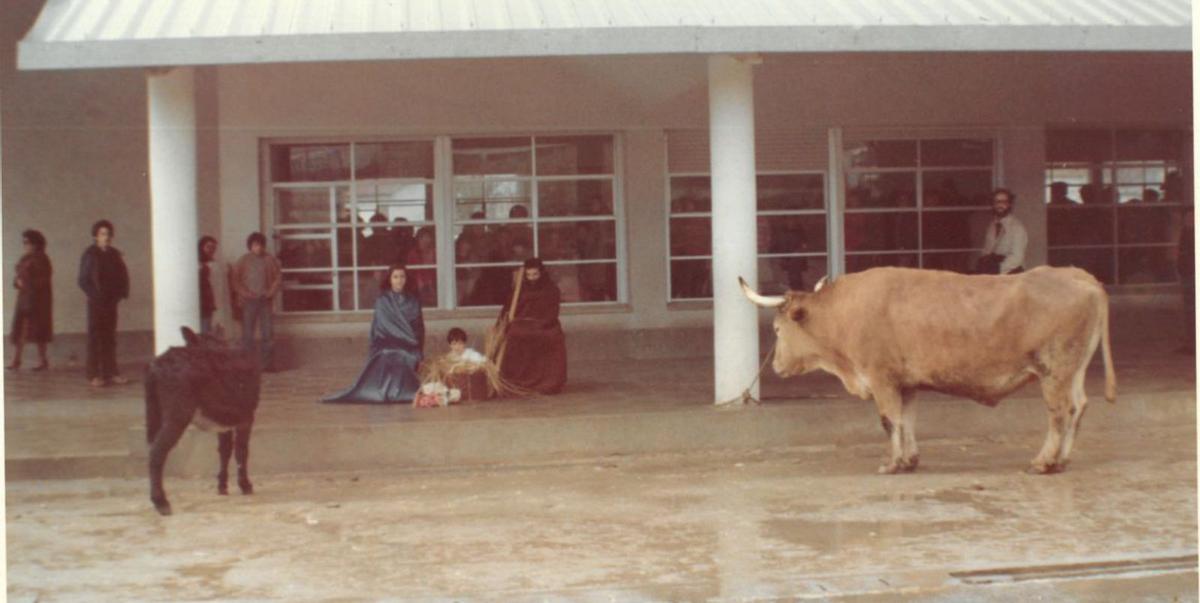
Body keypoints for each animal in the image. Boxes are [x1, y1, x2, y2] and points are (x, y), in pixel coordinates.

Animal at [739, 266, 1113, 473]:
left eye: (777, 329)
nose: (776, 365)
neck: (843, 312)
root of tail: (1079, 275)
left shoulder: (882, 379)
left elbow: (889, 421)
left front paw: (892, 463)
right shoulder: (907, 383)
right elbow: (907, 421)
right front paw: (909, 460)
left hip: (1054, 372)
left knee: (1060, 413)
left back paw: (1044, 462)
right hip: (1073, 372)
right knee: (1078, 407)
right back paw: (1061, 461)